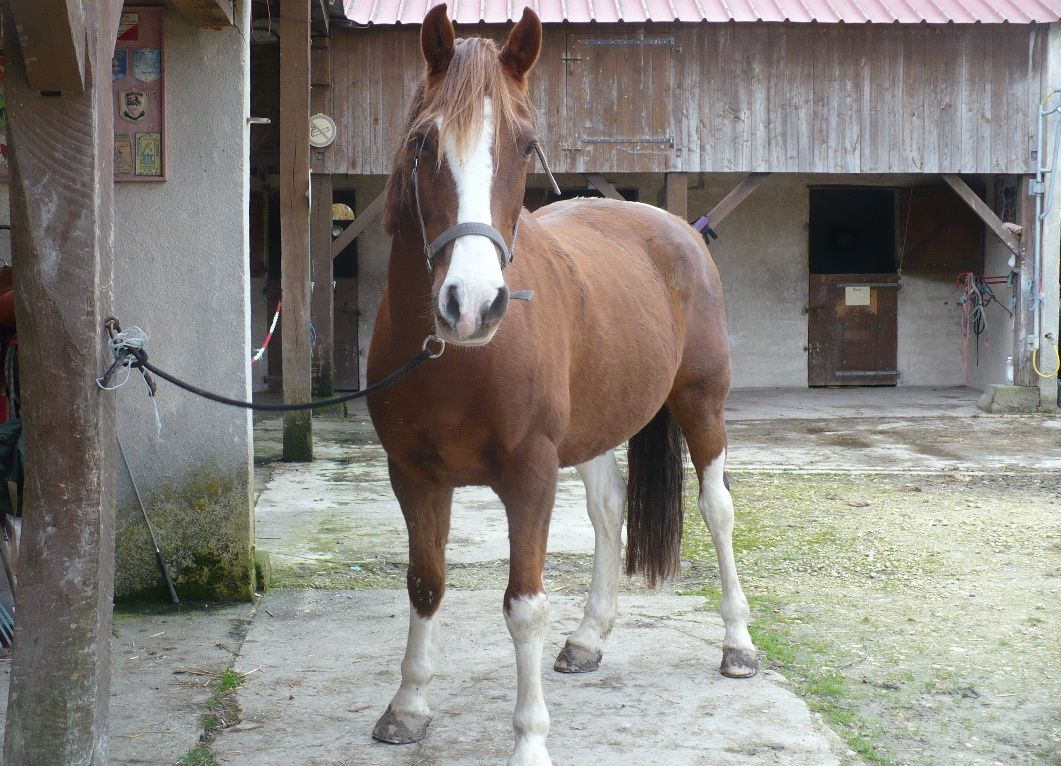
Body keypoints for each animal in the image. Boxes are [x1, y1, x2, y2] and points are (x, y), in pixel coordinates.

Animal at [369, 8, 759, 759]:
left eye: (525, 145)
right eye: (424, 141)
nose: (472, 303)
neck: (458, 362)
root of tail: (678, 229)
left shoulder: (529, 474)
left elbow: (523, 607)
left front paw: (528, 740)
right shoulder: (414, 475)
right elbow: (426, 584)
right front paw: (407, 706)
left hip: (701, 404)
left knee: (716, 509)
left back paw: (738, 643)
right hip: (595, 428)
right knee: (608, 511)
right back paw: (588, 639)